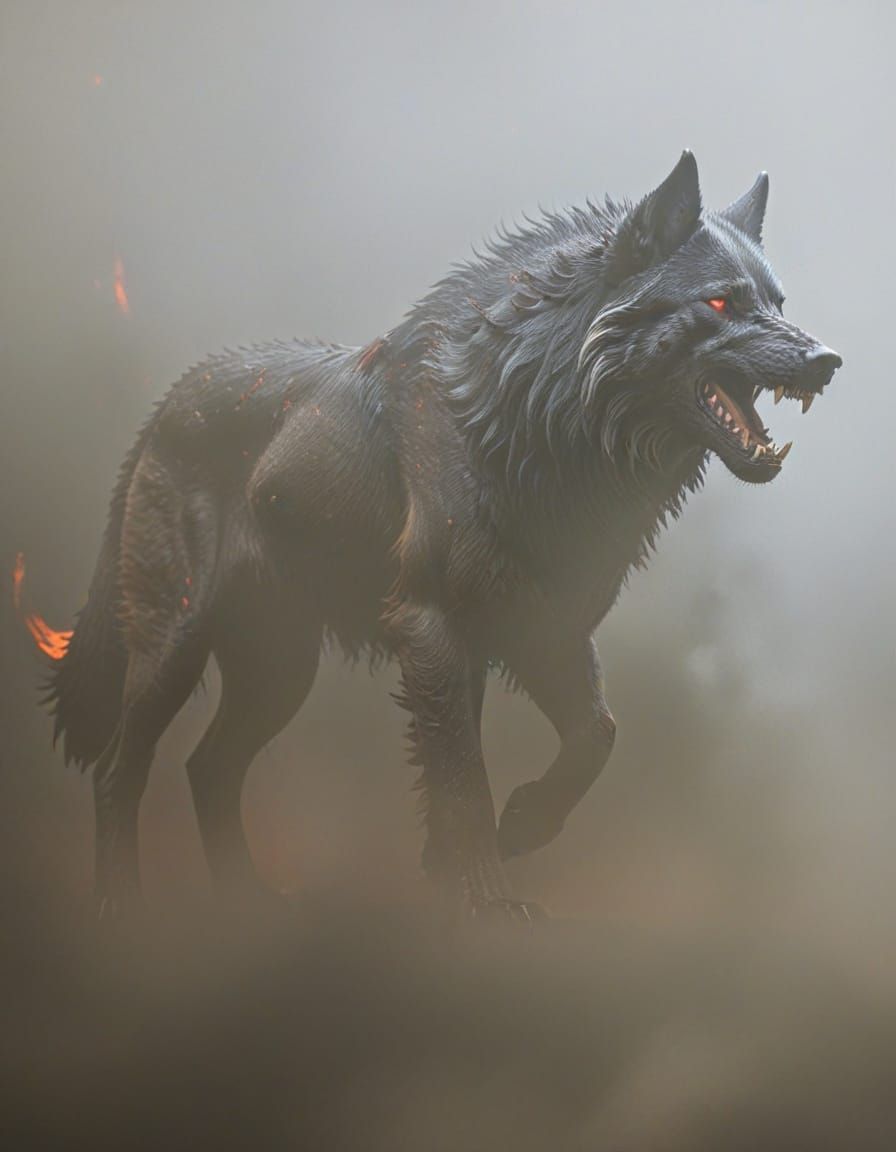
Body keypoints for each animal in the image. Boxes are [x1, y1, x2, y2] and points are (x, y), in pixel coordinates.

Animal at [46, 152, 841, 922]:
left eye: (777, 303)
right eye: (720, 303)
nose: (826, 361)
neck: (531, 421)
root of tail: (165, 404)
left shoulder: (542, 627)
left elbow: (592, 737)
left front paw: (511, 835)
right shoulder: (433, 627)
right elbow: (463, 781)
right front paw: (489, 902)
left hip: (281, 671)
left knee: (207, 767)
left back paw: (249, 907)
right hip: (177, 645)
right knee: (120, 768)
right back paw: (122, 907)